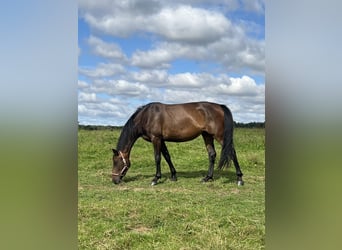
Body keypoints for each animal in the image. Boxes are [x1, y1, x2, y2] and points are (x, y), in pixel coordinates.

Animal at [111, 101, 243, 186]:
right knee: (212, 154)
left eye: (116, 161)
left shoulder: (156, 139)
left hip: (219, 136)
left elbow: (157, 158)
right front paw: (173, 176)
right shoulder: (161, 140)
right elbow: (167, 156)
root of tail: (220, 107)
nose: (114, 180)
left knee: (232, 152)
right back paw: (207, 178)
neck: (147, 116)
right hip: (207, 135)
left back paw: (239, 179)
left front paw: (155, 179)